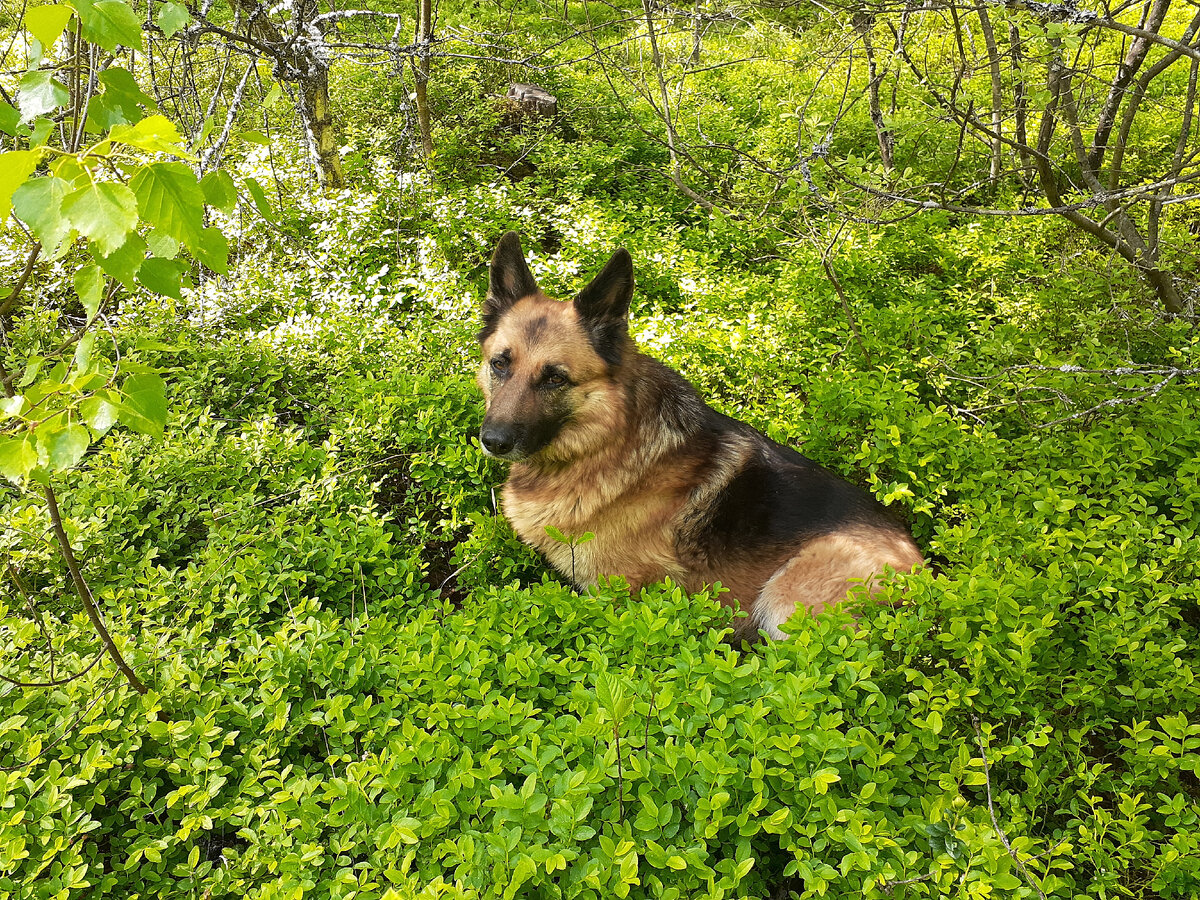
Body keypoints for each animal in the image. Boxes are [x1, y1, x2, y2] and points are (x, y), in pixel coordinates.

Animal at [472, 232, 921, 643]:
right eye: (500, 364)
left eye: (555, 378)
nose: (493, 441)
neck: (605, 443)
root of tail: (925, 574)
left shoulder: (614, 596)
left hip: (786, 599)